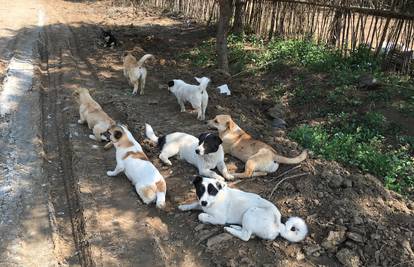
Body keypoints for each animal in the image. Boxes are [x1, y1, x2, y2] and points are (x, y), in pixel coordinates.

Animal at [179, 177, 308, 244]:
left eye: (212, 191)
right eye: (200, 190)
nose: (204, 203)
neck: (216, 198)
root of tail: (278, 226)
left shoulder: (219, 218)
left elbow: (201, 215)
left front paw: (203, 217)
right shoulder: (201, 203)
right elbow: (195, 204)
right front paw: (184, 207)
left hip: (250, 212)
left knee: (245, 236)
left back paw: (229, 229)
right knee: (248, 232)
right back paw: (235, 227)